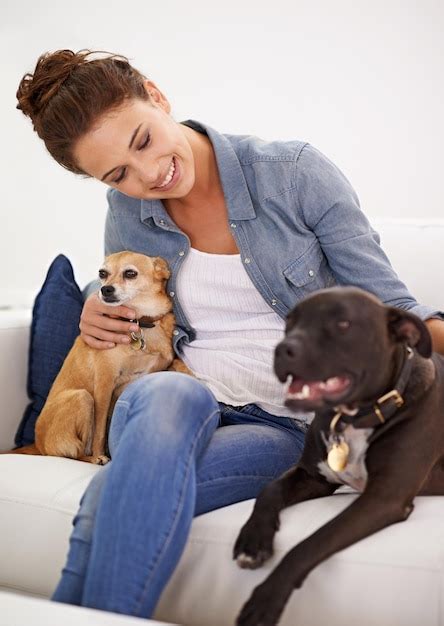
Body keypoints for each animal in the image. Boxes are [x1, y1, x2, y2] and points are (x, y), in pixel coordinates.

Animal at [6, 250, 190, 464]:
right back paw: (95, 459)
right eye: (102, 273)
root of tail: (39, 445)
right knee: (75, 453)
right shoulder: (105, 381)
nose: (105, 289)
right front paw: (98, 454)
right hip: (83, 397)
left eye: (130, 273)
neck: (140, 323)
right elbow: (100, 429)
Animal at [232, 286, 444, 624]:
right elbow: (269, 490)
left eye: (343, 324)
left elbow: (313, 541)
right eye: (290, 322)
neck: (353, 418)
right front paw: (253, 540)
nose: (282, 349)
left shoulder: (384, 498)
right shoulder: (312, 477)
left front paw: (266, 598)